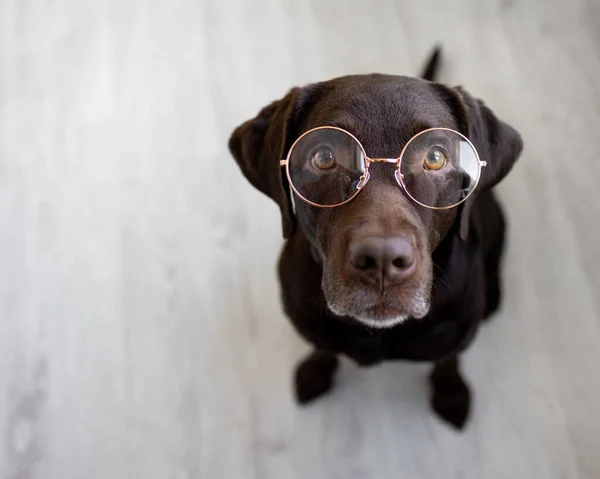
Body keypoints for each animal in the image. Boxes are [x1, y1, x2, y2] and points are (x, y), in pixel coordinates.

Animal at [227, 48, 524, 432]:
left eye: (436, 157)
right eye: (324, 156)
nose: (382, 260)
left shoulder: (456, 334)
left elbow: (448, 362)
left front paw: (451, 394)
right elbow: (323, 347)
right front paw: (315, 373)